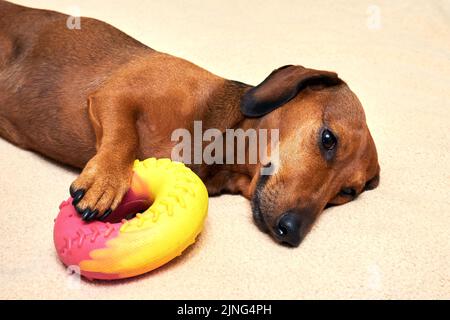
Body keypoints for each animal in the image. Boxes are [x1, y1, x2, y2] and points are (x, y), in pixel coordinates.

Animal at [0, 0, 380, 246]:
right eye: (328, 139)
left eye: (347, 192)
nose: (293, 231)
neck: (217, 136)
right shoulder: (113, 94)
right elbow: (123, 138)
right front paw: (106, 180)